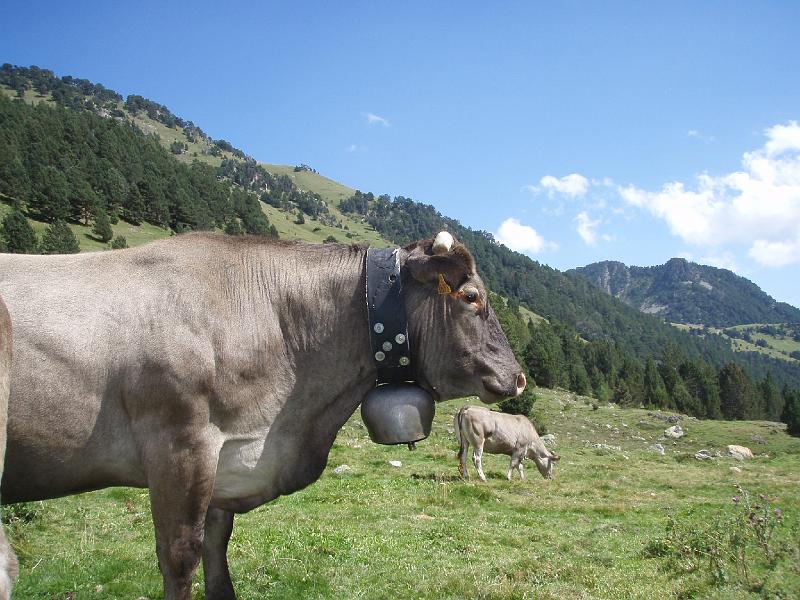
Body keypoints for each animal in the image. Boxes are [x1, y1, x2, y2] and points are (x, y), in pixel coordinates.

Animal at [0, 231, 524, 600]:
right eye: (472, 297)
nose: (518, 378)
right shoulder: (178, 444)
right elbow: (181, 556)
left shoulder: (226, 461)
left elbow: (217, 549)